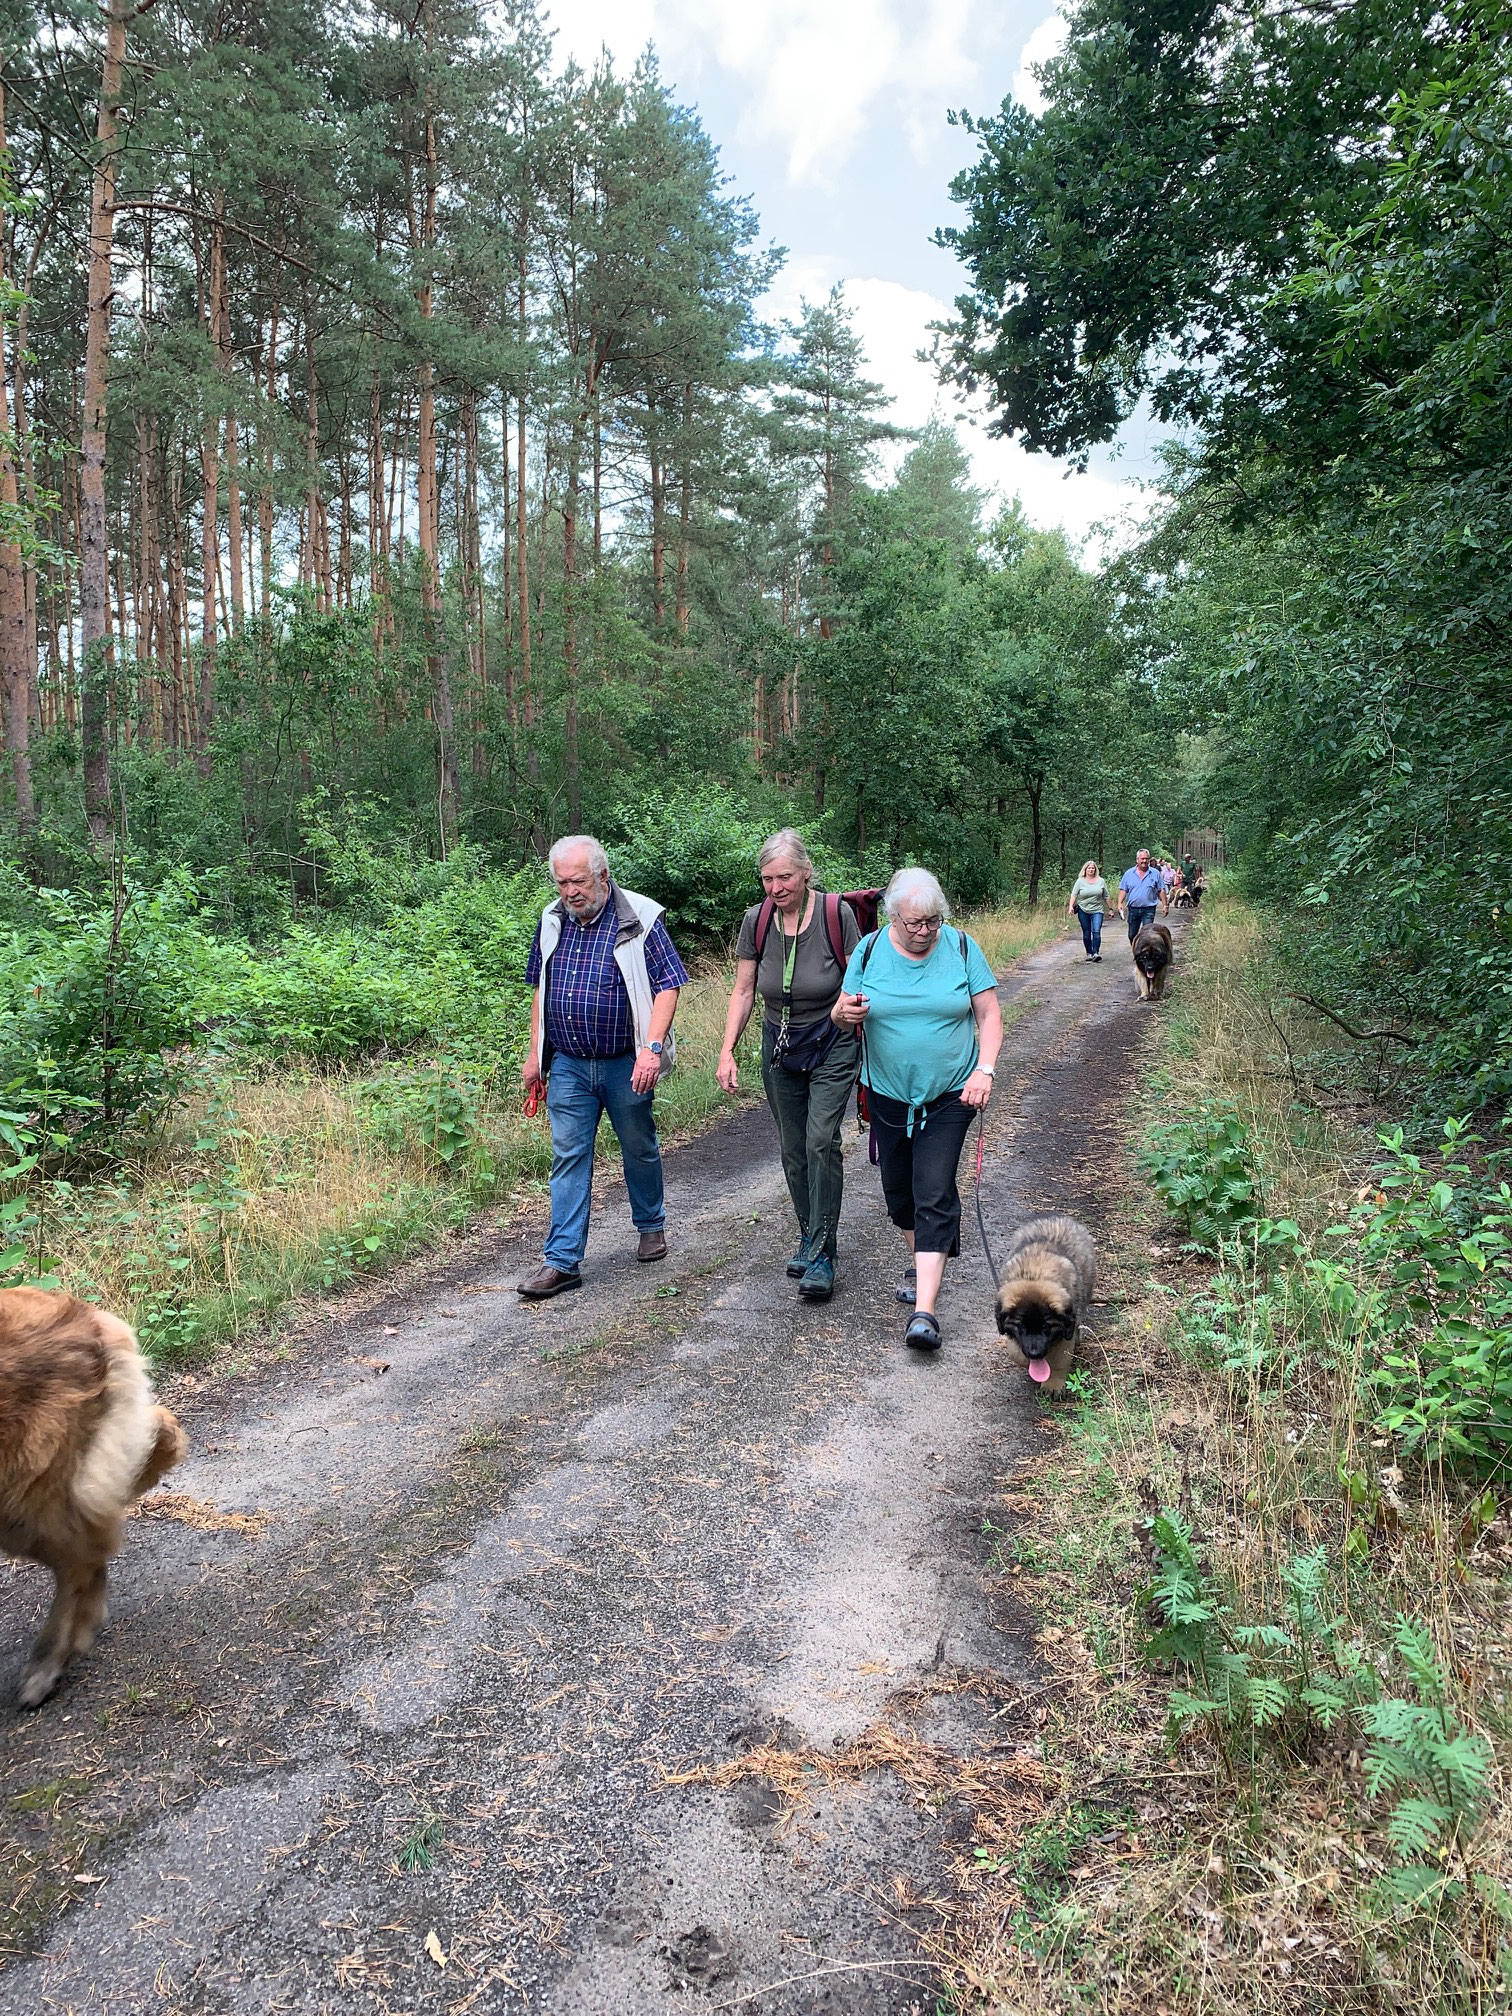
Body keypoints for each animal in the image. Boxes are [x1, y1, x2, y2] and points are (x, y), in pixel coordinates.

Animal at [995, 1217, 1104, 1395]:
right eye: (1021, 1326)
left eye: (1046, 1326)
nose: (1035, 1353)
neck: (1035, 1275)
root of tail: (1060, 1217)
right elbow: (1015, 1353)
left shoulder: (1066, 1330)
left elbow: (1059, 1359)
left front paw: (1052, 1384)